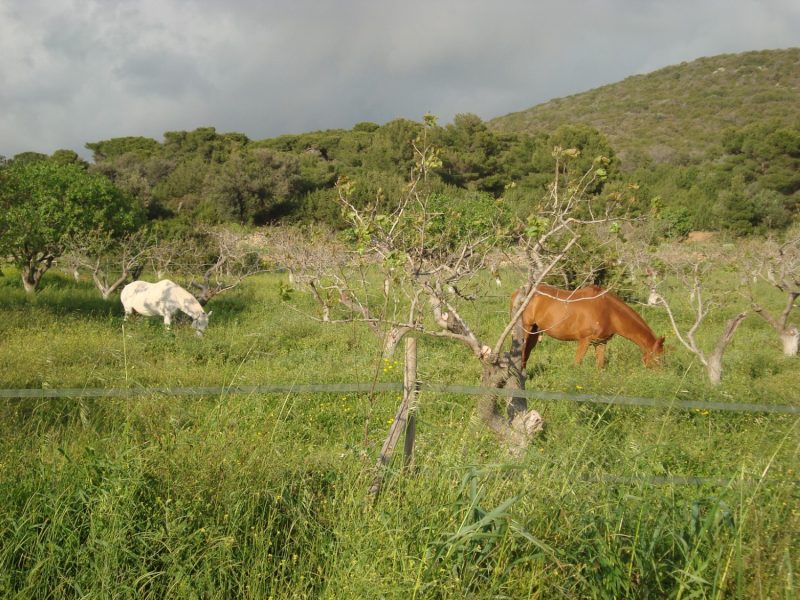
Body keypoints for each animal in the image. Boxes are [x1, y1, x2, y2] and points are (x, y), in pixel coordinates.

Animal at [511, 284, 664, 369]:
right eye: (658, 358)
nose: (660, 377)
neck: (608, 311)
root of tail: (519, 292)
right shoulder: (584, 341)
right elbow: (576, 365)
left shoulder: (601, 343)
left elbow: (600, 367)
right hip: (526, 329)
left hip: (535, 332)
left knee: (526, 353)